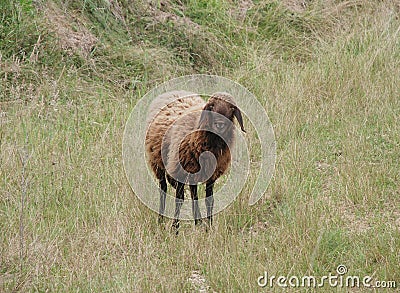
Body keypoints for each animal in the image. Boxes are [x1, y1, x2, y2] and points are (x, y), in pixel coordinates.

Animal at [144, 89, 244, 230]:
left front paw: (209, 227)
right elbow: (179, 199)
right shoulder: (179, 171)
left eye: (232, 108)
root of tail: (172, 92)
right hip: (157, 162)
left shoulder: (211, 175)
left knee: (193, 193)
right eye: (211, 106)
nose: (220, 124)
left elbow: (209, 200)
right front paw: (175, 228)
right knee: (163, 190)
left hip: (192, 169)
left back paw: (198, 221)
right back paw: (160, 219)